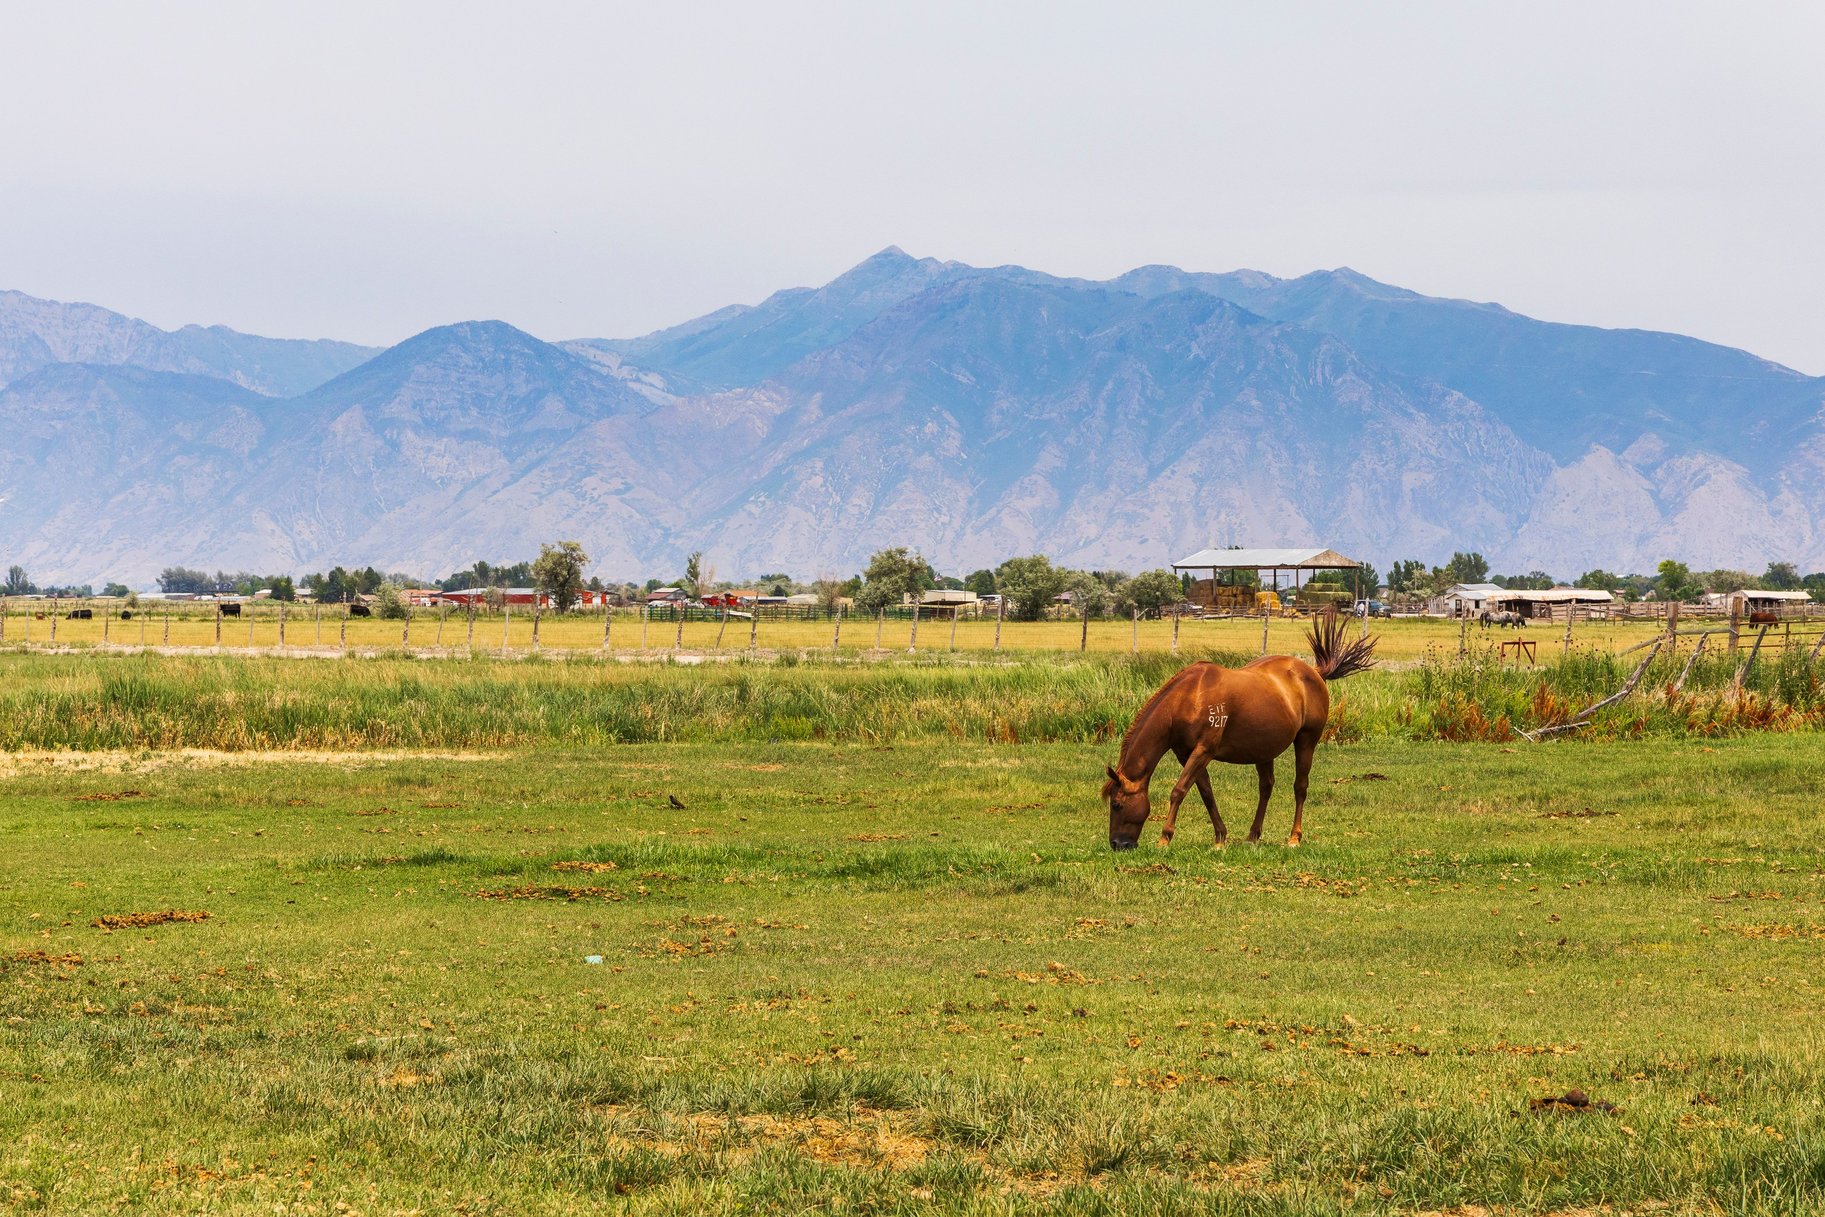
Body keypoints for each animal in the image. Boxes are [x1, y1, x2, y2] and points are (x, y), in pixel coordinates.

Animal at [1101, 610, 1377, 850]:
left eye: (1117, 805)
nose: (1117, 844)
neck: (1188, 698)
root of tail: (1315, 672)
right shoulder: (1187, 754)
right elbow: (1206, 792)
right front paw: (1220, 837)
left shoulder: (1203, 750)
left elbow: (1179, 790)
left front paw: (1164, 838)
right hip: (1264, 750)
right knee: (1266, 787)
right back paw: (1253, 835)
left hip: (1307, 740)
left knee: (1300, 786)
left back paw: (1294, 837)